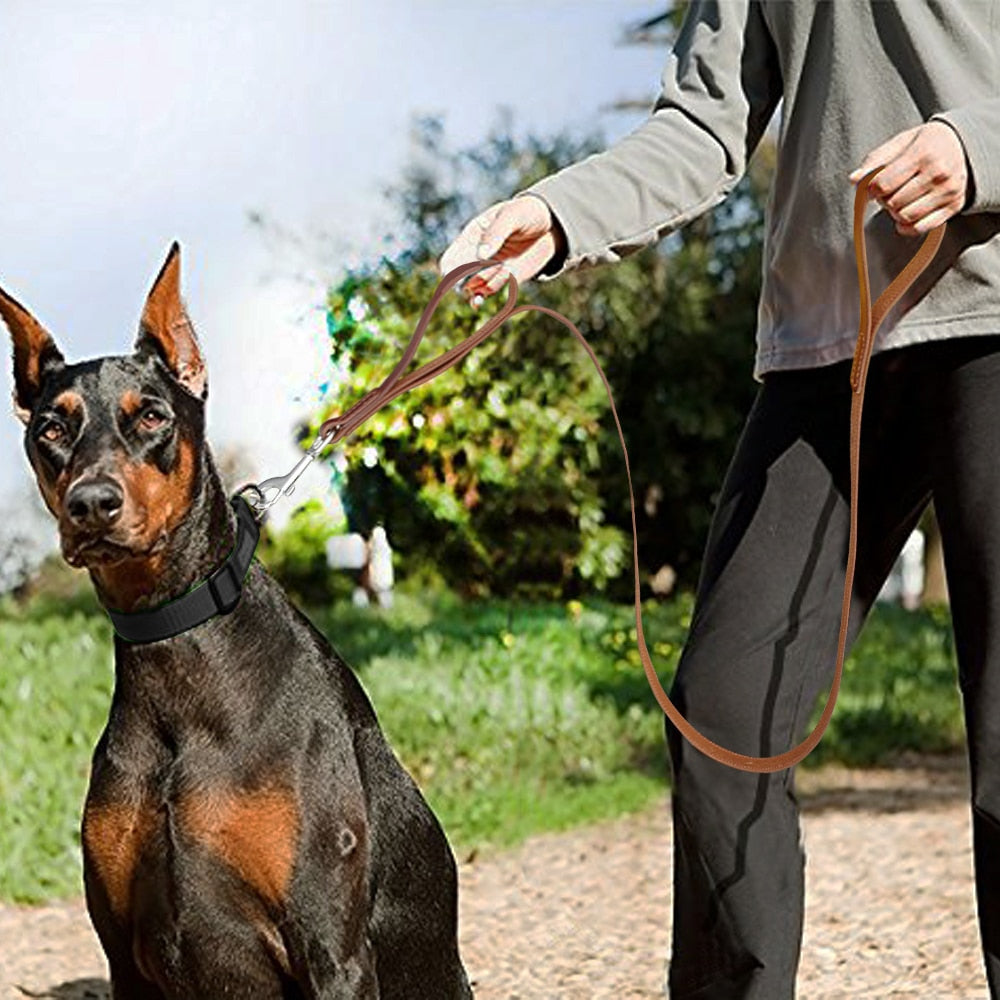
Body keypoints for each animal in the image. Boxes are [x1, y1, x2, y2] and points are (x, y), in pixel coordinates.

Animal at [0, 244, 476, 1000]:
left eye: (151, 417)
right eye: (51, 428)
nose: (92, 504)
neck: (175, 643)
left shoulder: (331, 949)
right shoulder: (121, 952)